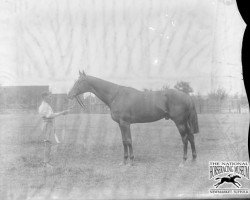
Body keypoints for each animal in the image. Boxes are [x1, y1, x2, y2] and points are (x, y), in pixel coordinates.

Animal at [68, 71, 199, 165]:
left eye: (79, 82)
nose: (69, 95)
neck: (115, 95)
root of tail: (187, 97)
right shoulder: (121, 124)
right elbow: (124, 141)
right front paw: (124, 161)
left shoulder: (125, 123)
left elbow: (129, 140)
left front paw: (131, 161)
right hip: (185, 122)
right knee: (191, 137)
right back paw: (193, 159)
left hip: (180, 122)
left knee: (185, 139)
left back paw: (183, 161)